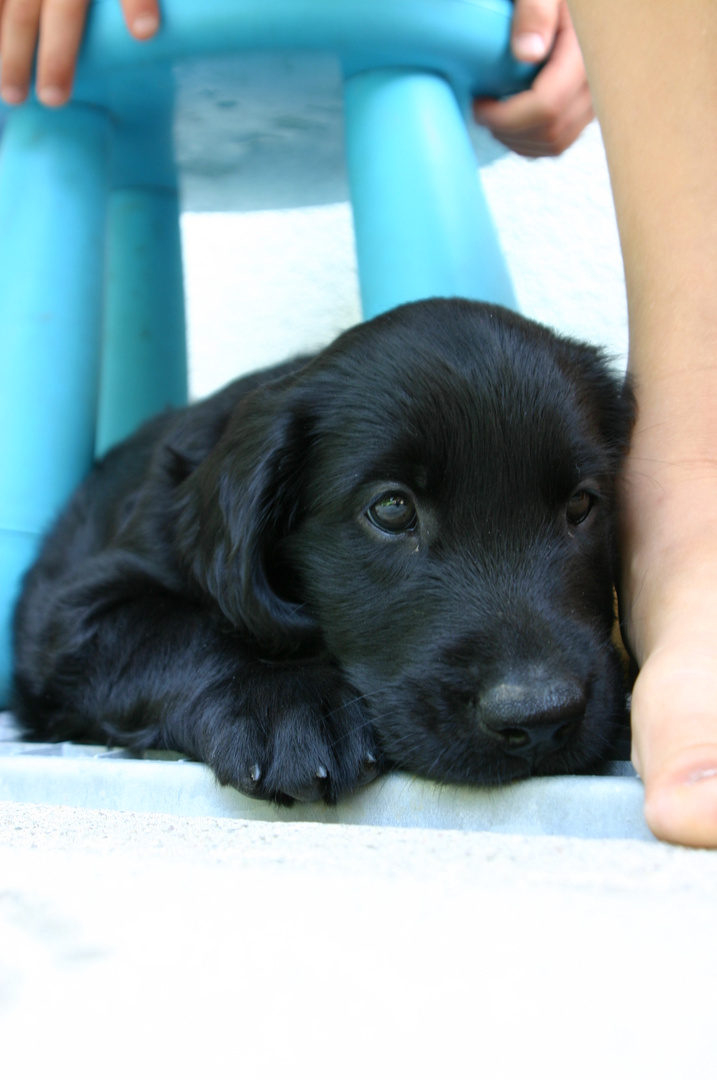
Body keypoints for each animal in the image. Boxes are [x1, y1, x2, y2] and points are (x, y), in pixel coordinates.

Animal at [11, 300, 634, 807]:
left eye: (581, 503)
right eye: (392, 509)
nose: (541, 717)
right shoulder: (69, 620)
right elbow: (176, 632)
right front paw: (287, 704)